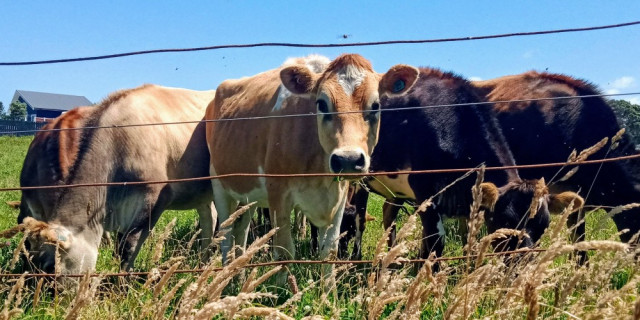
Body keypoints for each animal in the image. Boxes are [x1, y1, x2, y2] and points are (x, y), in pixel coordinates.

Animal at [19, 85, 218, 276]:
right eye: (30, 259)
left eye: (51, 266)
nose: (33, 289)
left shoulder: (153, 201)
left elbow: (127, 248)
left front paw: (122, 283)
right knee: (210, 219)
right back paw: (203, 263)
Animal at [205, 54, 420, 268]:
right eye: (322, 104)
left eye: (376, 105)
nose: (348, 160)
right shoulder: (278, 195)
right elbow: (284, 254)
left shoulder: (338, 200)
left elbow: (329, 251)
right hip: (219, 186)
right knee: (226, 237)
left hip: (249, 196)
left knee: (241, 236)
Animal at [348, 67, 584, 260]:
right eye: (506, 222)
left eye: (543, 226)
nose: (522, 264)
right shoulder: (425, 194)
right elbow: (435, 244)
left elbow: (466, 239)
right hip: (359, 181)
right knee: (359, 219)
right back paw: (355, 259)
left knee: (389, 215)